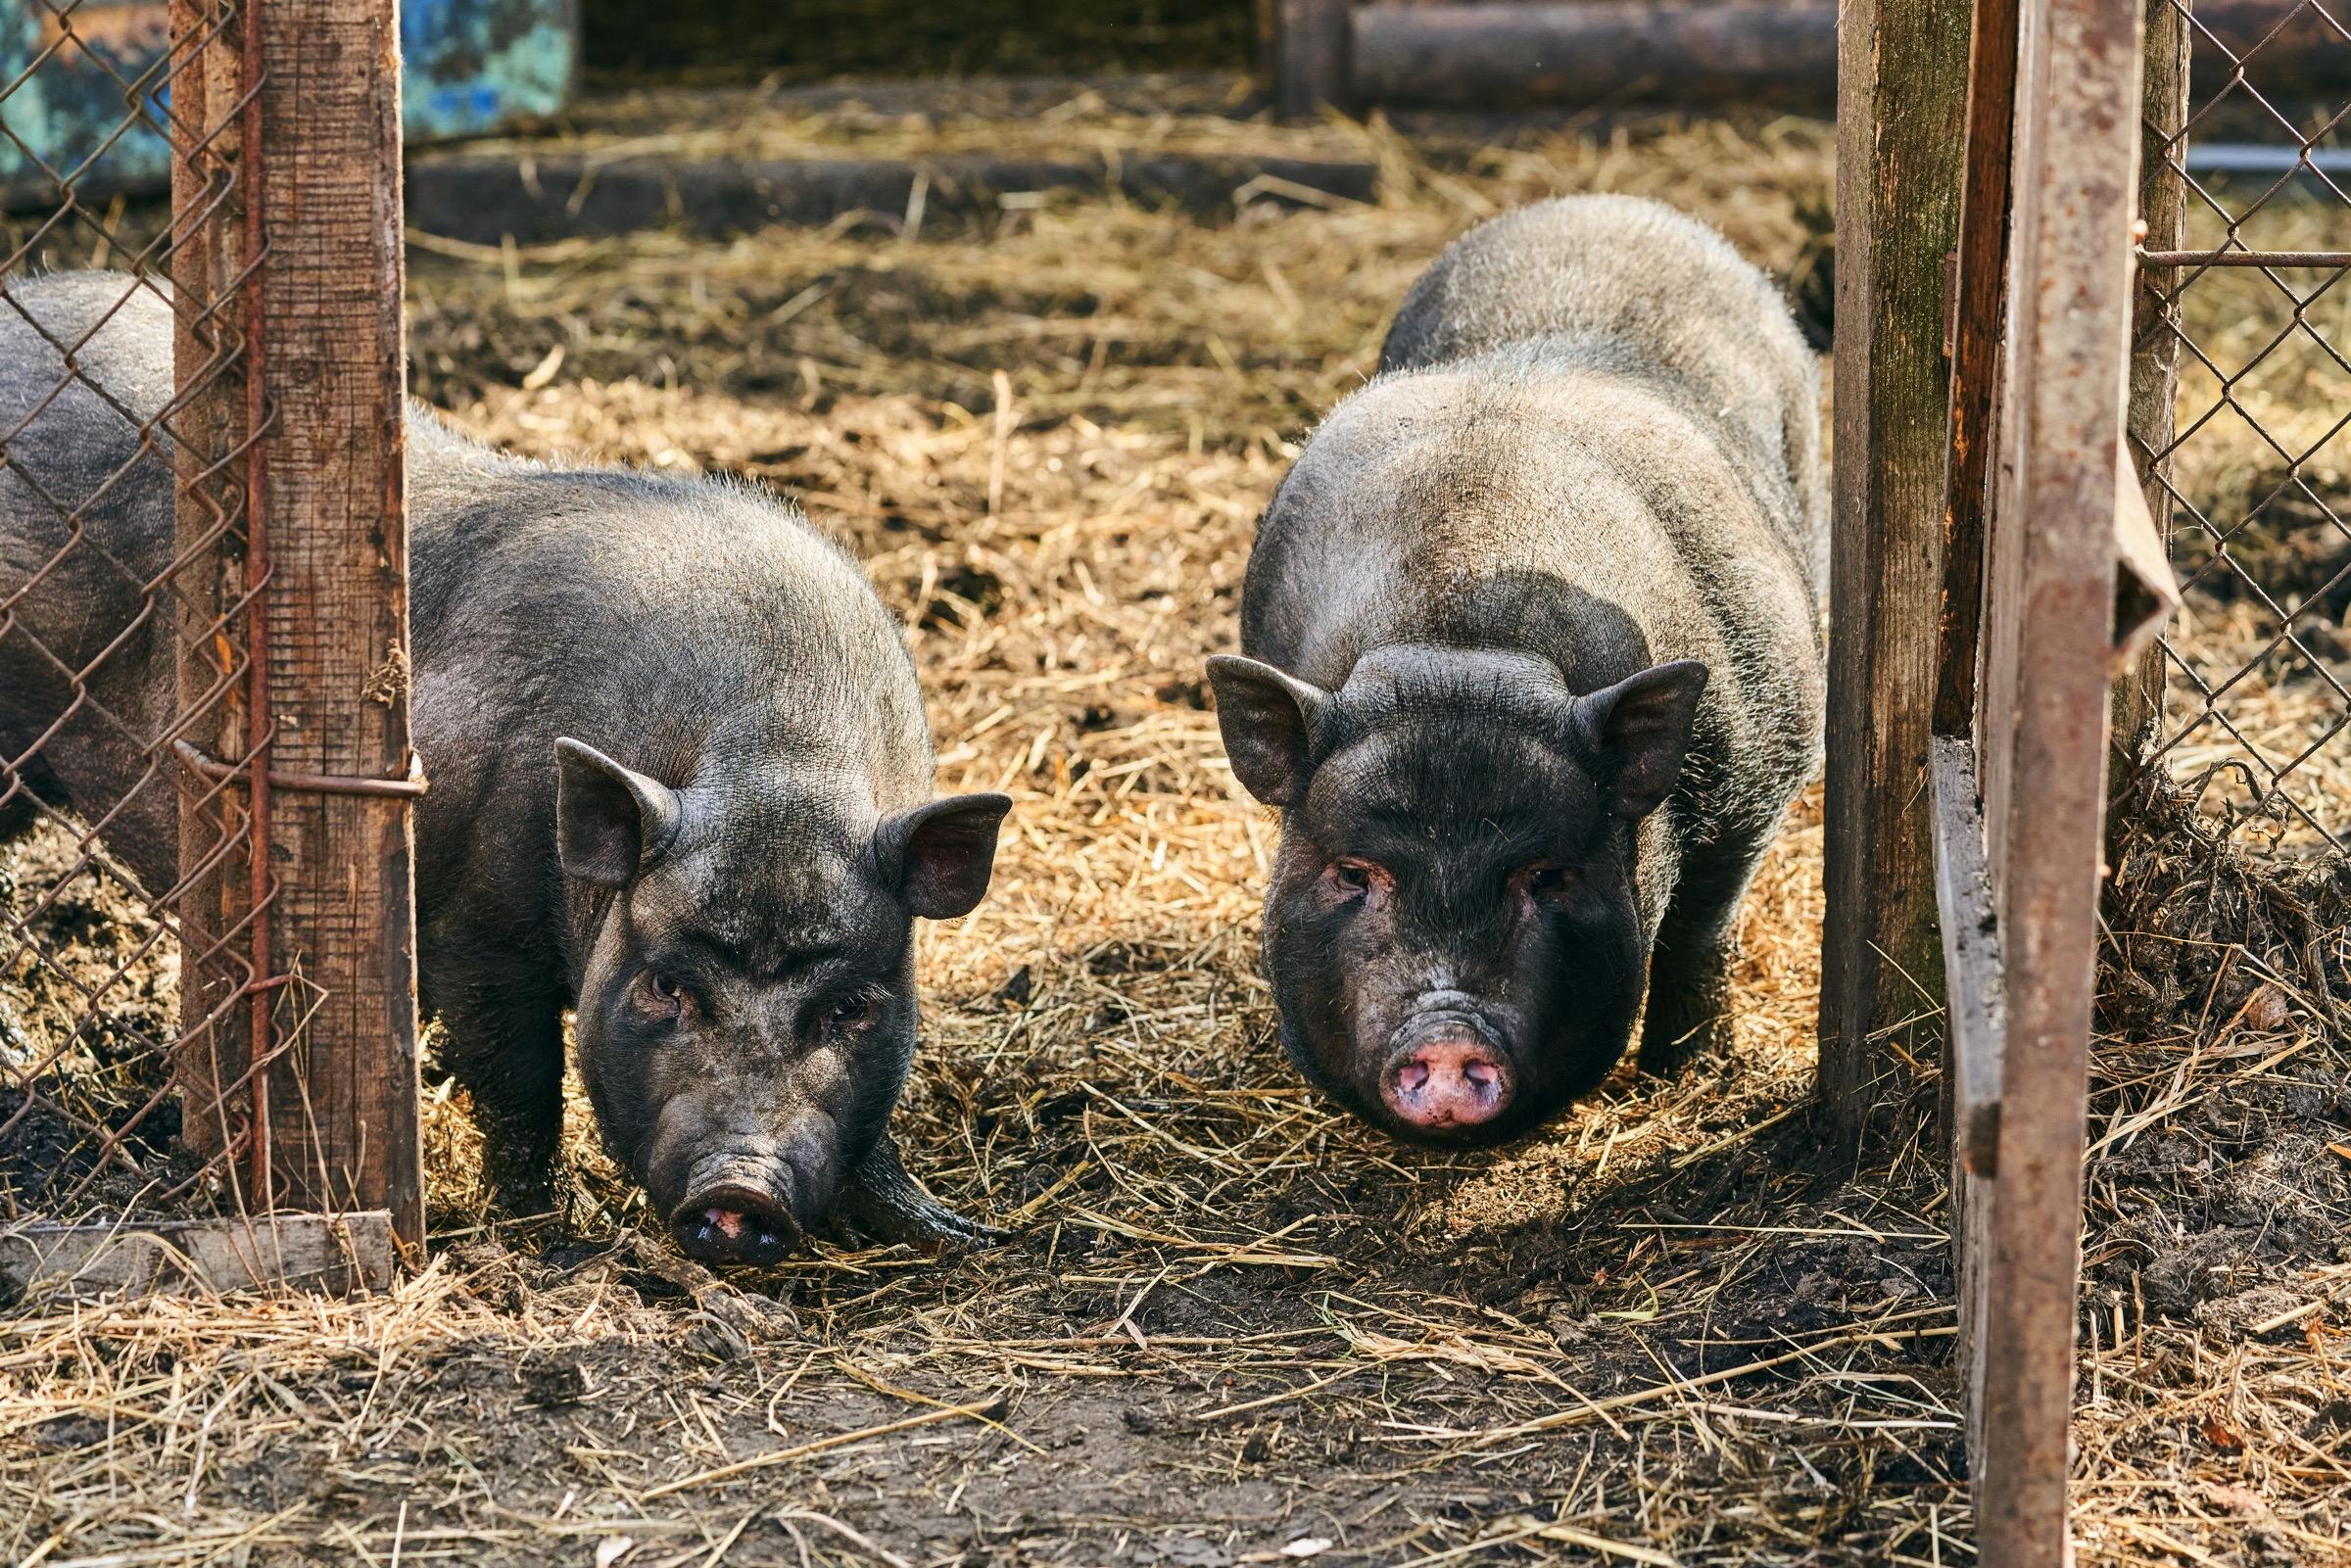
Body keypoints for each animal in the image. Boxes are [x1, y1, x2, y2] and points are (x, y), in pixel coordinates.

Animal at [0, 272, 1011, 1259]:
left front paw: (964, 1229)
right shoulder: (474, 923)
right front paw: (547, 1232)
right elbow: (520, 1082)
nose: (739, 1186)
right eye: (668, 985)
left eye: (847, 1006)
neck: (779, 763)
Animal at [1203, 202, 1824, 1147]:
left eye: (1548, 874)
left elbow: (1700, 935)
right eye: (1353, 871)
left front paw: (1686, 1075)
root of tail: (1602, 204)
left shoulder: (1765, 766)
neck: (1461, 637)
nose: (1448, 1037)